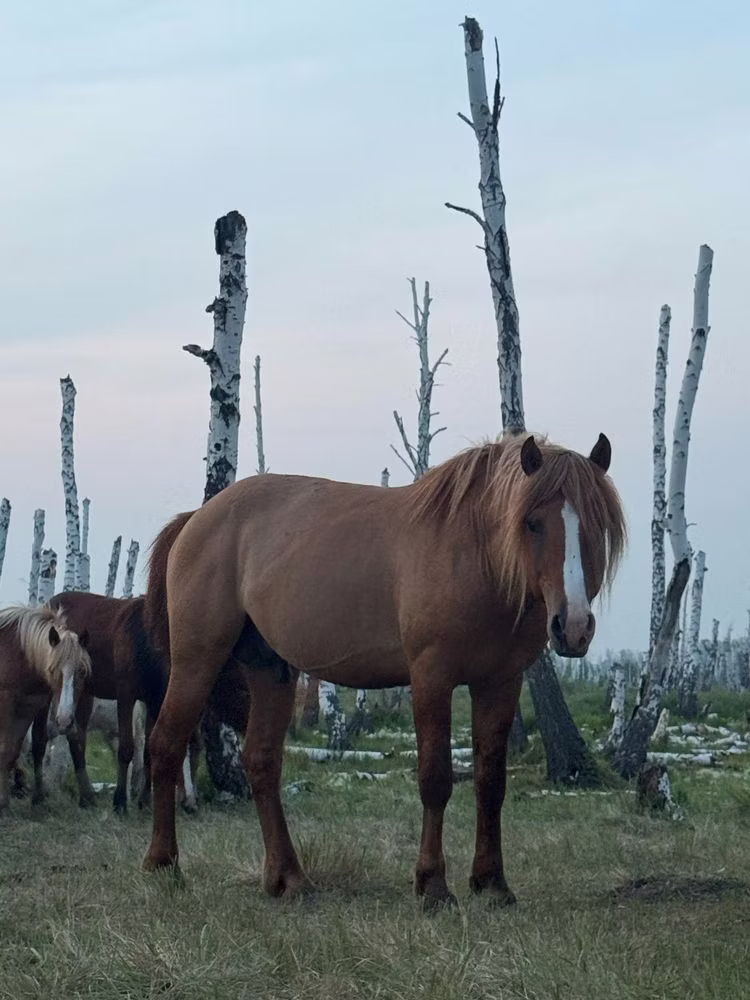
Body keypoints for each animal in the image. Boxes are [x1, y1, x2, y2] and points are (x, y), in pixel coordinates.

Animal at [0, 604, 91, 812]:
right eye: (52, 670)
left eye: (82, 671)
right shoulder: (7, 704)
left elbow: (16, 750)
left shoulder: (31, 707)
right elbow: (5, 749)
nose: (65, 721)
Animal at [142, 433, 626, 908]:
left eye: (597, 524)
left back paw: (289, 878)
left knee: (261, 762)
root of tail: (197, 518)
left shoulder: (500, 683)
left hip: (272, 669)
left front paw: (492, 883)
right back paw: (163, 865)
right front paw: (433, 886)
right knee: (166, 745)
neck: (473, 556)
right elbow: (435, 779)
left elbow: (491, 783)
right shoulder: (432, 678)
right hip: (196, 660)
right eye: (532, 522)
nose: (573, 626)